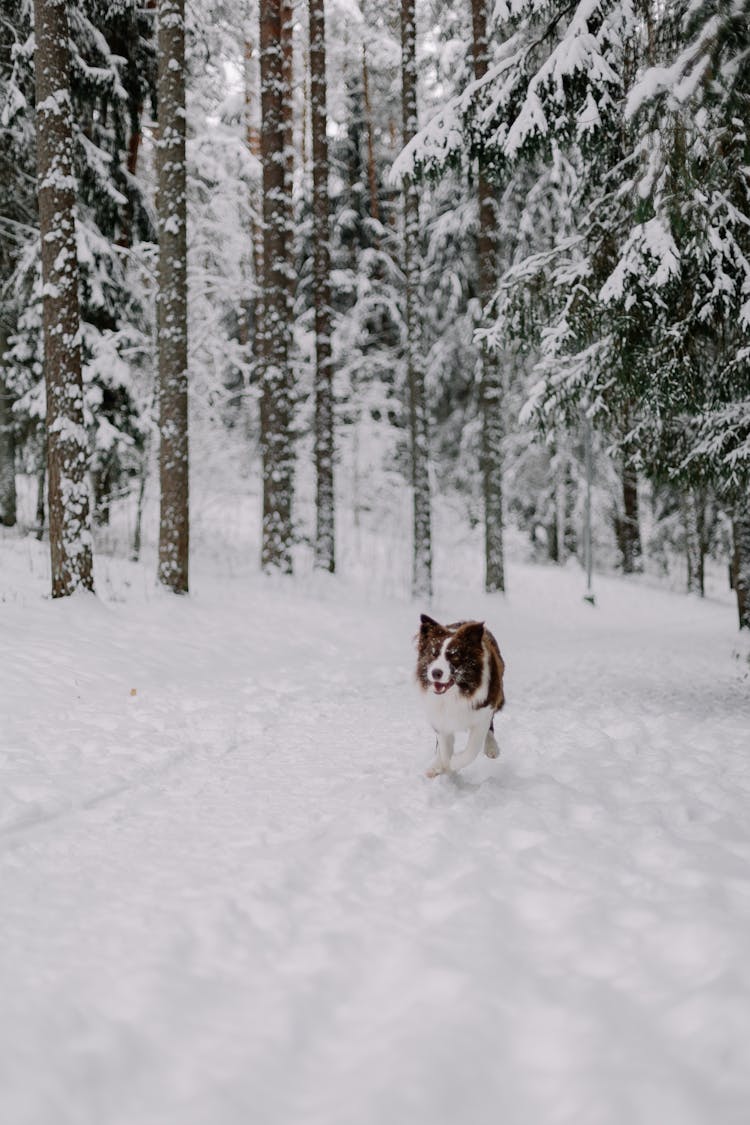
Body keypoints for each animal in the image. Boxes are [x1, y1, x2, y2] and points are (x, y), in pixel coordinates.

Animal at [416, 612, 503, 778]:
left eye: (454, 656)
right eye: (433, 654)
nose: (436, 673)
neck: (456, 692)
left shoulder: (483, 712)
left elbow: (472, 750)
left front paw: (454, 763)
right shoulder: (440, 717)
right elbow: (444, 749)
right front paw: (443, 767)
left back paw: (492, 748)